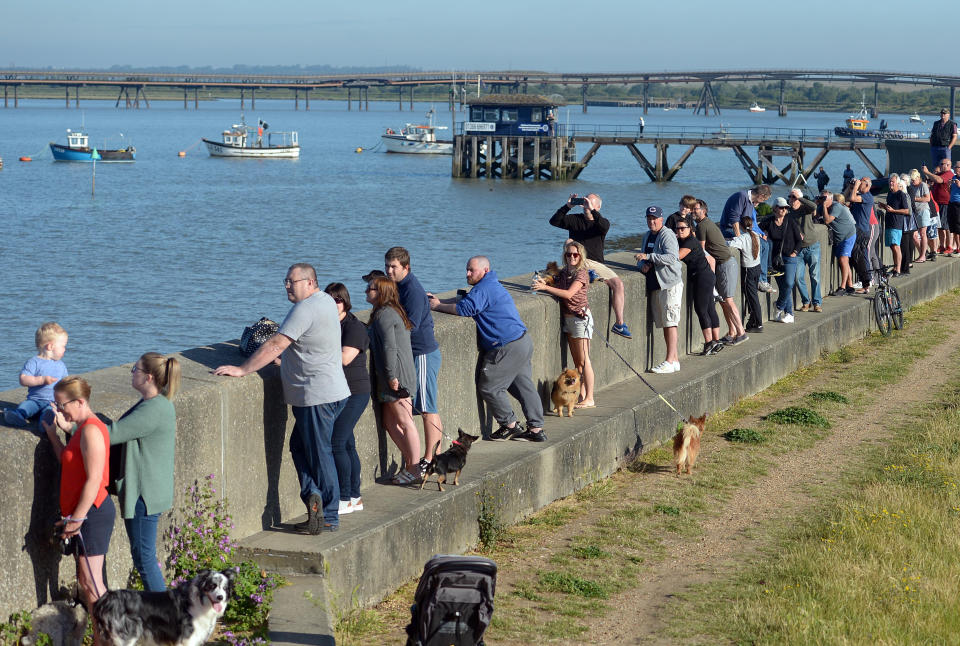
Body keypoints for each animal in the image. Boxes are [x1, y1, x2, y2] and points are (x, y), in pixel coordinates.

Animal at [93, 572, 234, 646]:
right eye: (212, 586)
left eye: (225, 588)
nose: (220, 597)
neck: (201, 602)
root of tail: (107, 598)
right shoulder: (187, 639)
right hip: (126, 637)